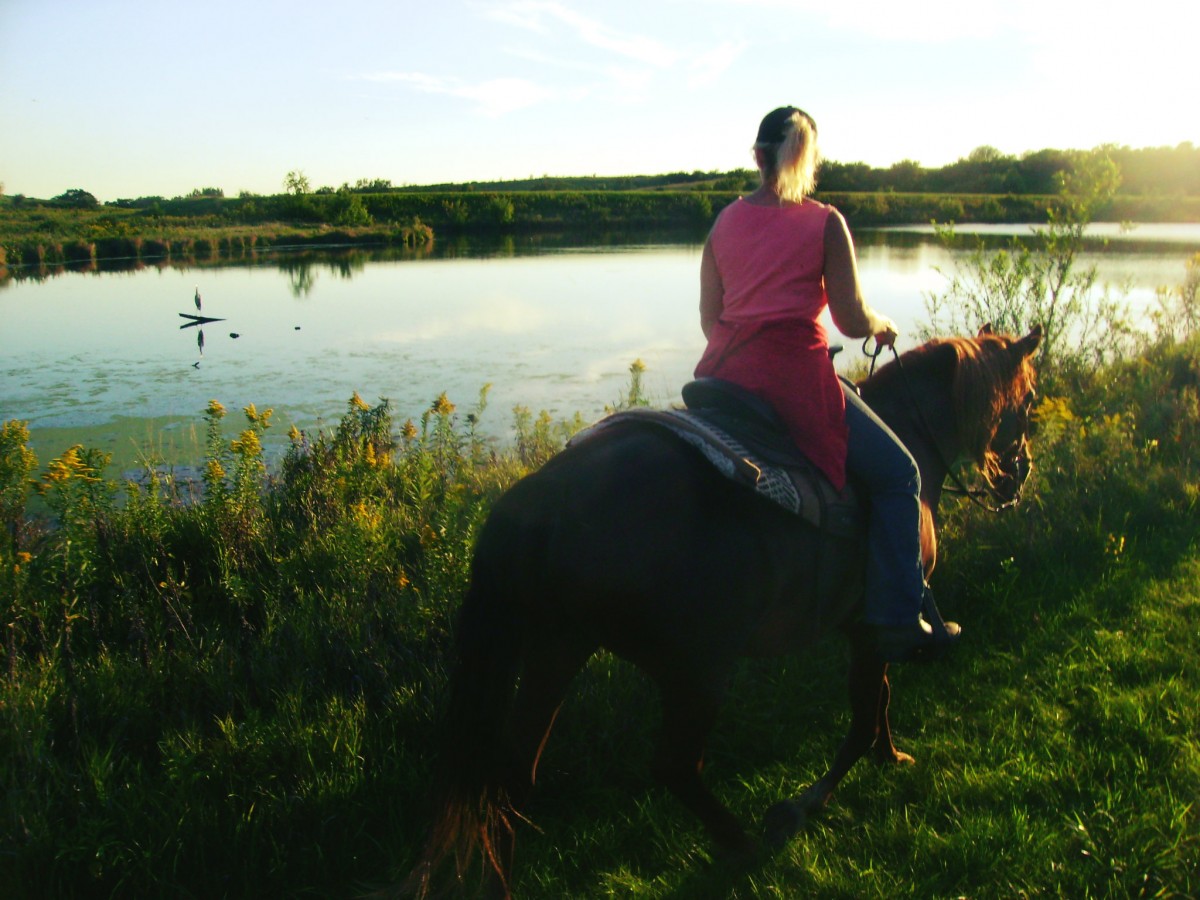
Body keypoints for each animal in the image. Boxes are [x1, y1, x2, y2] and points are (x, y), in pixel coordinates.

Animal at [405, 324, 1041, 897]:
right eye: (1031, 398)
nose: (1019, 474)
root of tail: (541, 497)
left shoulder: (864, 631)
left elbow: (879, 703)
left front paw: (891, 756)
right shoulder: (870, 627)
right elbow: (863, 717)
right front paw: (803, 803)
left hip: (557, 649)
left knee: (513, 776)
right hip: (698, 669)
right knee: (675, 766)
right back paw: (744, 845)